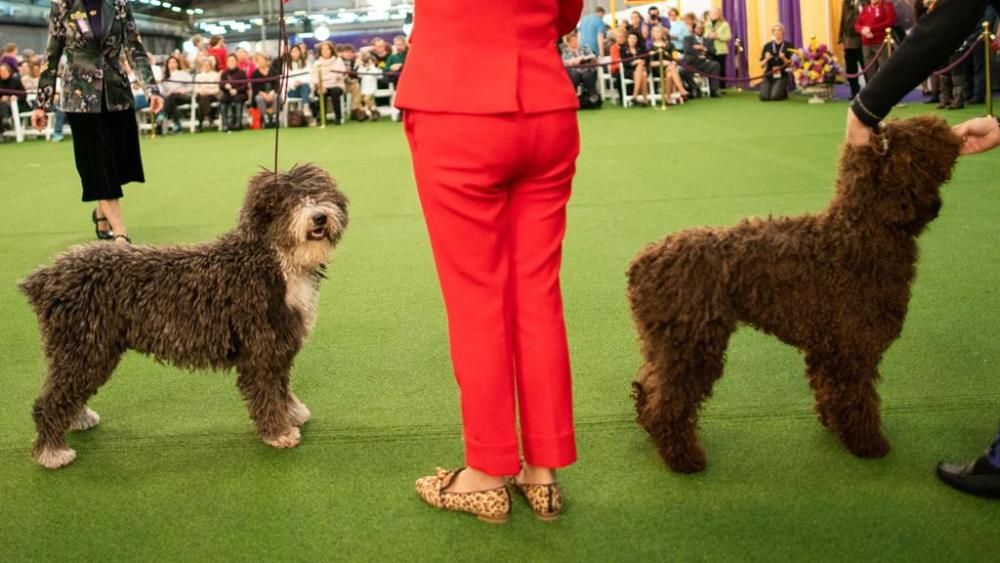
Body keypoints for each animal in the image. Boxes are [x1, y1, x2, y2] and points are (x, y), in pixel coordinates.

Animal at [18, 164, 348, 472]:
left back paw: (78, 419)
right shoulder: (260, 350)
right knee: (48, 400)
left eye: (319, 193)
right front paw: (279, 432)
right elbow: (266, 391)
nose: (319, 217)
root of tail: (45, 278)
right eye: (288, 201)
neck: (271, 261)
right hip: (83, 348)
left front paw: (292, 413)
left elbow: (281, 386)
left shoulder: (280, 344)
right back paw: (52, 452)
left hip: (87, 350)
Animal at [628, 117, 964, 474]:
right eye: (916, 138)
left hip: (663, 344)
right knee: (668, 403)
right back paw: (684, 458)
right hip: (692, 346)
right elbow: (858, 399)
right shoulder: (853, 348)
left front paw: (836, 426)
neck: (861, 232)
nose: (945, 125)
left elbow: (831, 392)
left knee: (648, 385)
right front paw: (867, 443)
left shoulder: (827, 349)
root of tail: (641, 262)